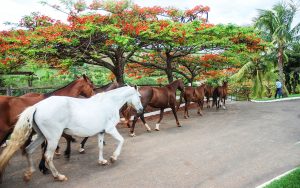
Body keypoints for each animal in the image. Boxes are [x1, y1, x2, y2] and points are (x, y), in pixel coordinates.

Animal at [0, 85, 144, 182]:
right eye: (139, 96)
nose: (141, 110)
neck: (109, 103)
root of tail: (37, 106)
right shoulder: (110, 129)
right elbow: (121, 141)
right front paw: (113, 157)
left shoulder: (101, 132)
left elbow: (100, 146)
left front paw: (102, 161)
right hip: (52, 138)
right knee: (48, 156)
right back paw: (58, 176)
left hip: (41, 136)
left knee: (29, 150)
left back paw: (28, 174)